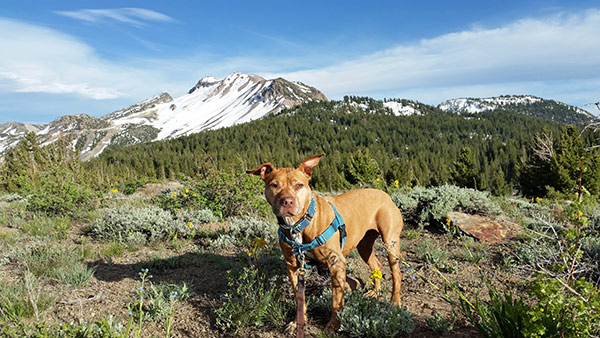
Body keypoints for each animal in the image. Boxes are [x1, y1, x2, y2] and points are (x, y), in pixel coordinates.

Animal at [246, 154, 406, 332]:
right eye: (274, 185)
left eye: (299, 185)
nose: (287, 202)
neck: (299, 224)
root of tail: (385, 194)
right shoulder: (293, 266)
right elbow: (299, 297)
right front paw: (297, 322)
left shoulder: (336, 262)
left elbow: (336, 299)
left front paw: (333, 324)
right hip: (364, 245)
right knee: (376, 264)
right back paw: (375, 293)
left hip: (390, 243)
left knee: (396, 273)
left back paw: (394, 303)